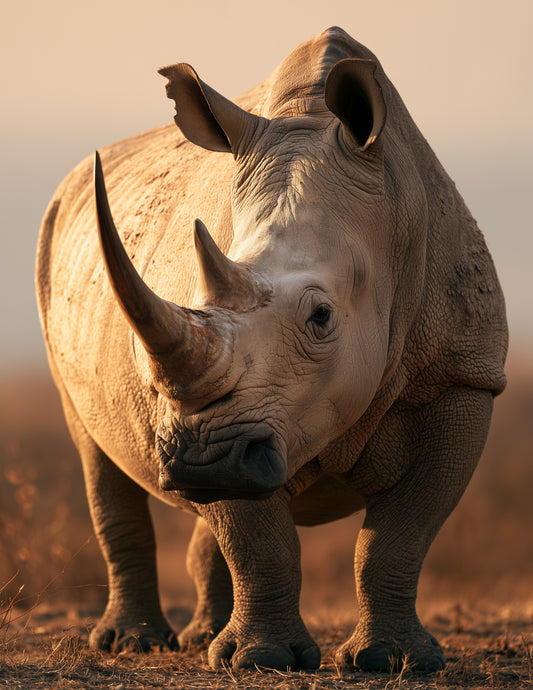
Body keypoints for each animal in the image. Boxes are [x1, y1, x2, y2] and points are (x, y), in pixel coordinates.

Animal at [36, 27, 507, 673]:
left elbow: (400, 537)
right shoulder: (203, 415)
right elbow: (258, 539)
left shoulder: (462, 375)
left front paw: (393, 661)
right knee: (95, 449)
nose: (204, 461)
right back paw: (135, 643)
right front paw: (263, 660)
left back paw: (198, 637)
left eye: (321, 317)